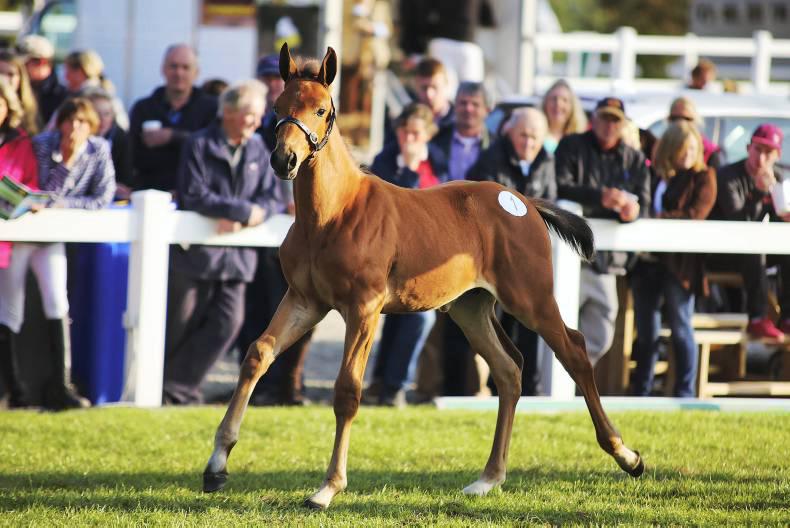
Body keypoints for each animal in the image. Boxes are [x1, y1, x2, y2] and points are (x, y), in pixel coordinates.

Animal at [203, 44, 644, 509]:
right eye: (277, 108)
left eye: (321, 110)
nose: (283, 160)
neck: (332, 214)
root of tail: (524, 200)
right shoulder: (305, 300)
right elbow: (257, 354)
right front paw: (216, 465)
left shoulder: (364, 309)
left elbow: (347, 391)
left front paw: (328, 487)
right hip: (469, 309)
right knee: (509, 371)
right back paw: (488, 478)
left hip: (531, 297)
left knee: (574, 350)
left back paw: (627, 456)